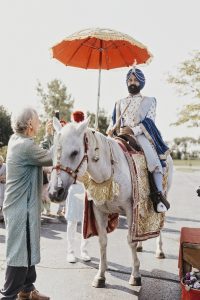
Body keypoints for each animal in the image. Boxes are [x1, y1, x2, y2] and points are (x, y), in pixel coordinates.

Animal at [48, 117, 173, 288]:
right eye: (53, 151)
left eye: (74, 152)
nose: (54, 193)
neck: (108, 171)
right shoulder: (99, 210)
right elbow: (103, 241)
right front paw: (100, 276)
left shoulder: (131, 209)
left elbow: (130, 241)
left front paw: (135, 275)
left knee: (159, 223)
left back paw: (159, 251)